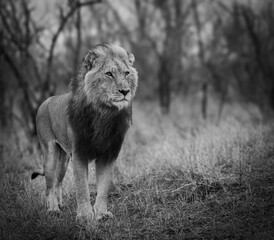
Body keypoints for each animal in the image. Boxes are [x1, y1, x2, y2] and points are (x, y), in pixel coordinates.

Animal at [32, 43, 138, 221]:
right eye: (109, 74)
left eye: (126, 73)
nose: (125, 91)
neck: (105, 114)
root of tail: (45, 101)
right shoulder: (79, 153)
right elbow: (82, 187)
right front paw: (85, 215)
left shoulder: (108, 154)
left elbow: (103, 187)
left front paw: (101, 213)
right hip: (50, 152)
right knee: (49, 185)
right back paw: (53, 209)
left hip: (64, 159)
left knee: (58, 181)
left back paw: (60, 204)